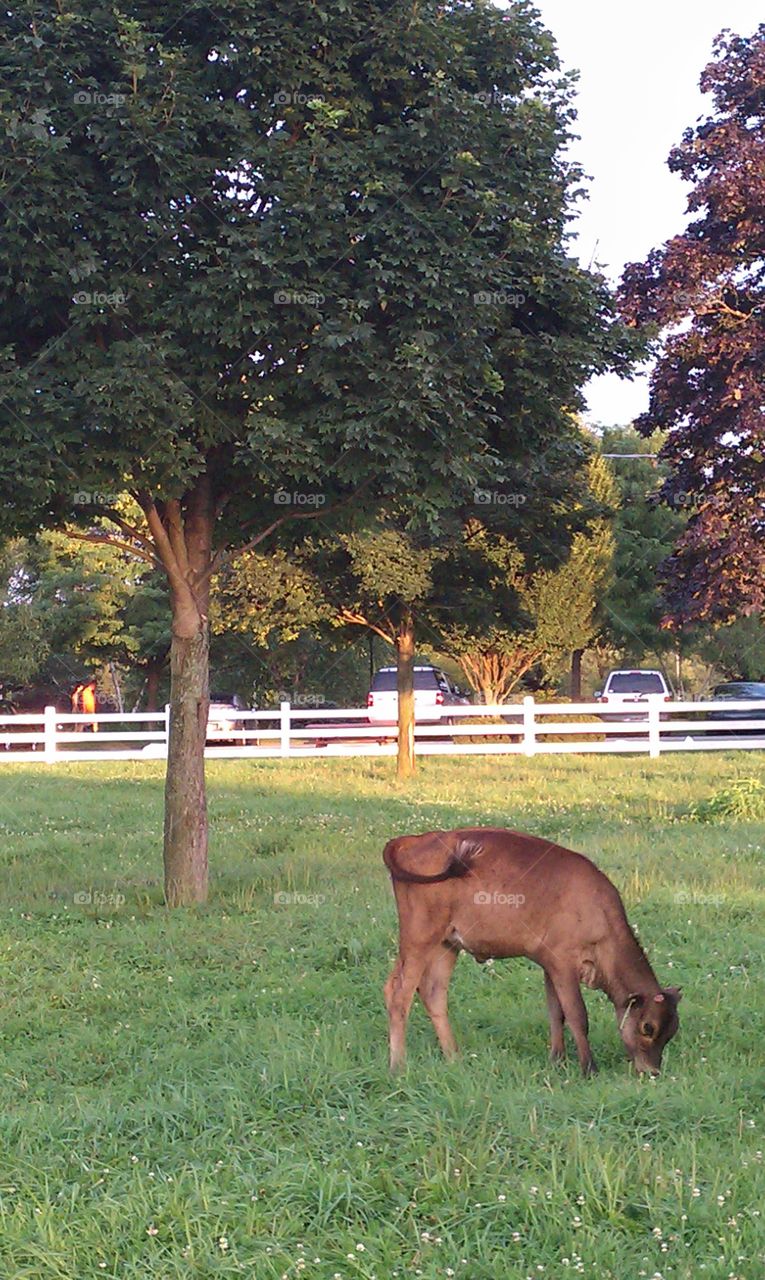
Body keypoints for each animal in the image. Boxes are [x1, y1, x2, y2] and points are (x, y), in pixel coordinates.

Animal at [383, 824, 685, 1075]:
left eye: (671, 1031)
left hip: (446, 944)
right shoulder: (563, 963)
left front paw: (557, 1060)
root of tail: (410, 840)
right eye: (648, 1027)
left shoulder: (550, 966)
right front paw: (589, 1068)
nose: (652, 1072)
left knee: (433, 992)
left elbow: (556, 1012)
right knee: (399, 993)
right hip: (419, 937)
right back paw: (398, 1065)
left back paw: (453, 1057)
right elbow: (577, 1015)